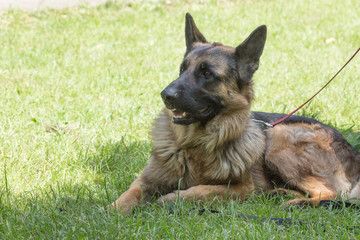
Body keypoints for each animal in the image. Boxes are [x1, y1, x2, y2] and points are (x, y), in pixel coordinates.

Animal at [109, 12, 360, 214]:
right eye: (182, 69)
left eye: (207, 73)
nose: (165, 95)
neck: (195, 145)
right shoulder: (145, 180)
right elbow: (129, 194)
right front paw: (113, 210)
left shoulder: (242, 188)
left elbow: (203, 190)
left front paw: (173, 198)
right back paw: (280, 193)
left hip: (279, 142)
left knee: (331, 194)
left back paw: (296, 203)